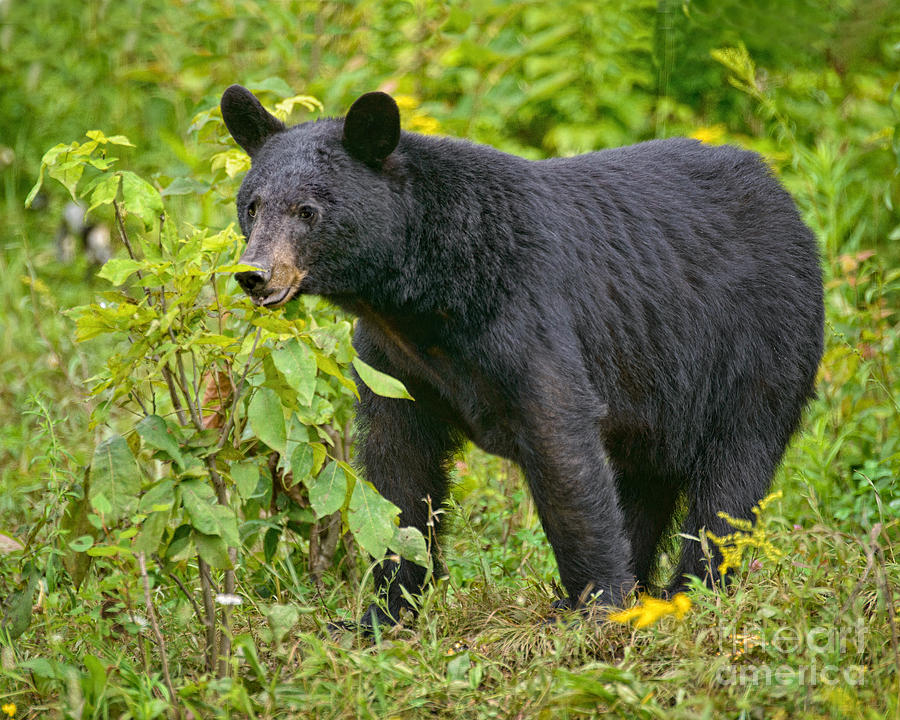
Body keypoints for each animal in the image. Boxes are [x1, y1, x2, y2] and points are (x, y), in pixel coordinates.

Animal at [220, 83, 824, 624]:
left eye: (307, 211)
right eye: (252, 205)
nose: (255, 275)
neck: (428, 294)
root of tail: (781, 193)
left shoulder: (525, 312)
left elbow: (562, 448)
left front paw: (595, 608)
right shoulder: (393, 358)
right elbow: (399, 471)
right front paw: (385, 611)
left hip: (759, 340)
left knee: (732, 475)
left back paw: (692, 589)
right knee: (642, 480)